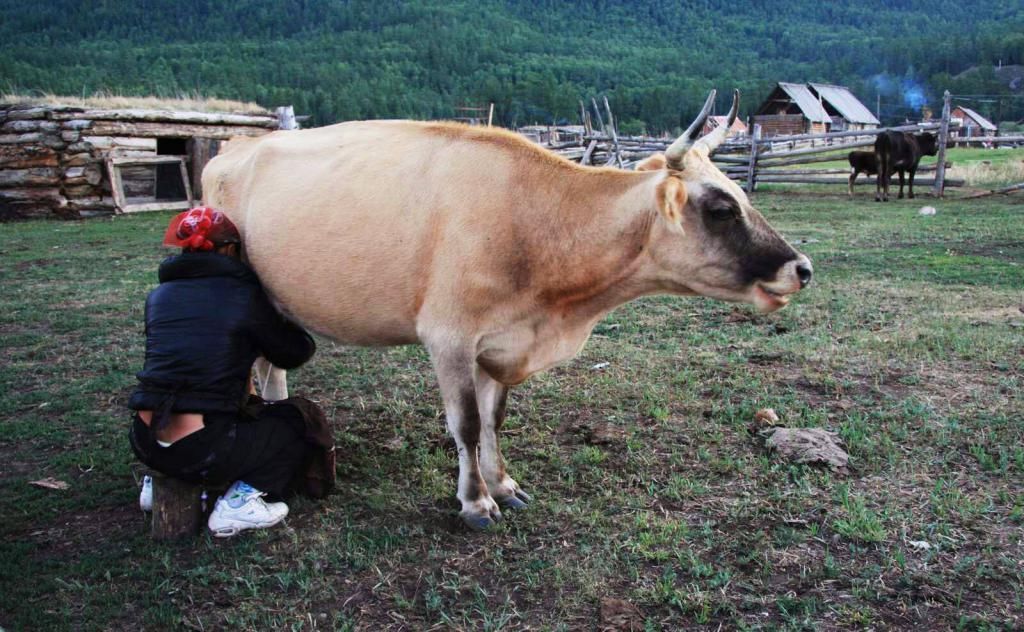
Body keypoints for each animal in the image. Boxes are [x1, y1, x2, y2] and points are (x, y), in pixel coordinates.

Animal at [203, 90, 811, 528]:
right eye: (721, 208)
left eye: (741, 193)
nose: (802, 268)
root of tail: (233, 147)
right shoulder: (449, 338)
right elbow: (467, 423)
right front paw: (476, 504)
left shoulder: (502, 341)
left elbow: (495, 419)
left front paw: (504, 485)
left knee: (271, 366)